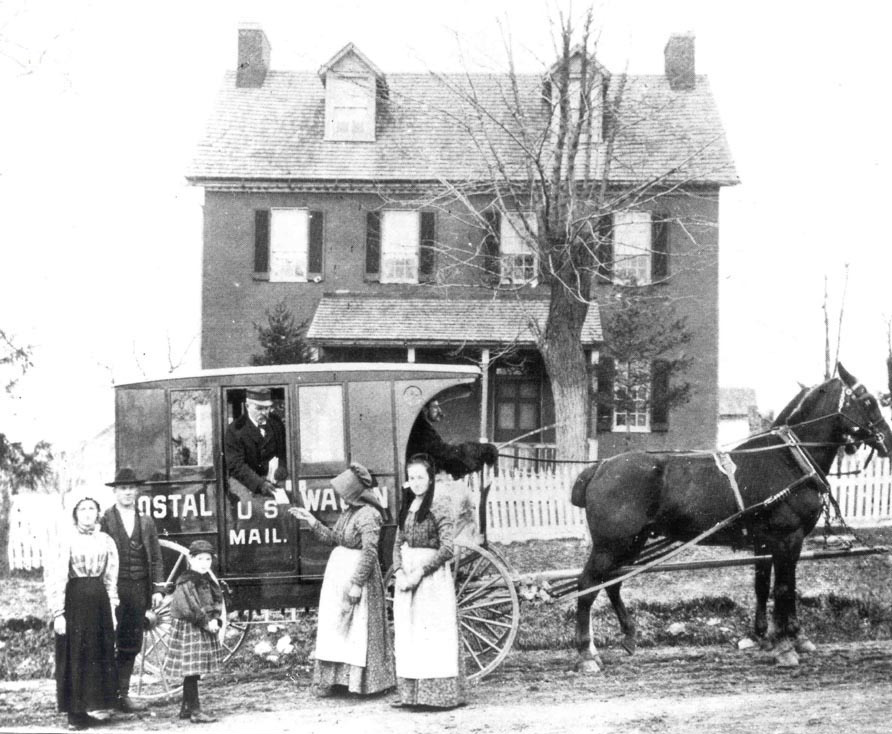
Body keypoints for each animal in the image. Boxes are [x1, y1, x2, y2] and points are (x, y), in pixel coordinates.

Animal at [572, 364, 892, 672]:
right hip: (610, 545)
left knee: (611, 584)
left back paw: (627, 636)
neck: (788, 459)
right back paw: (586, 653)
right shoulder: (787, 538)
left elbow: (770, 586)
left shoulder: (768, 543)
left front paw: (783, 637)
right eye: (867, 400)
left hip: (632, 543)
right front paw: (785, 647)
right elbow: (783, 589)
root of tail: (599, 468)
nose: (887, 441)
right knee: (586, 586)